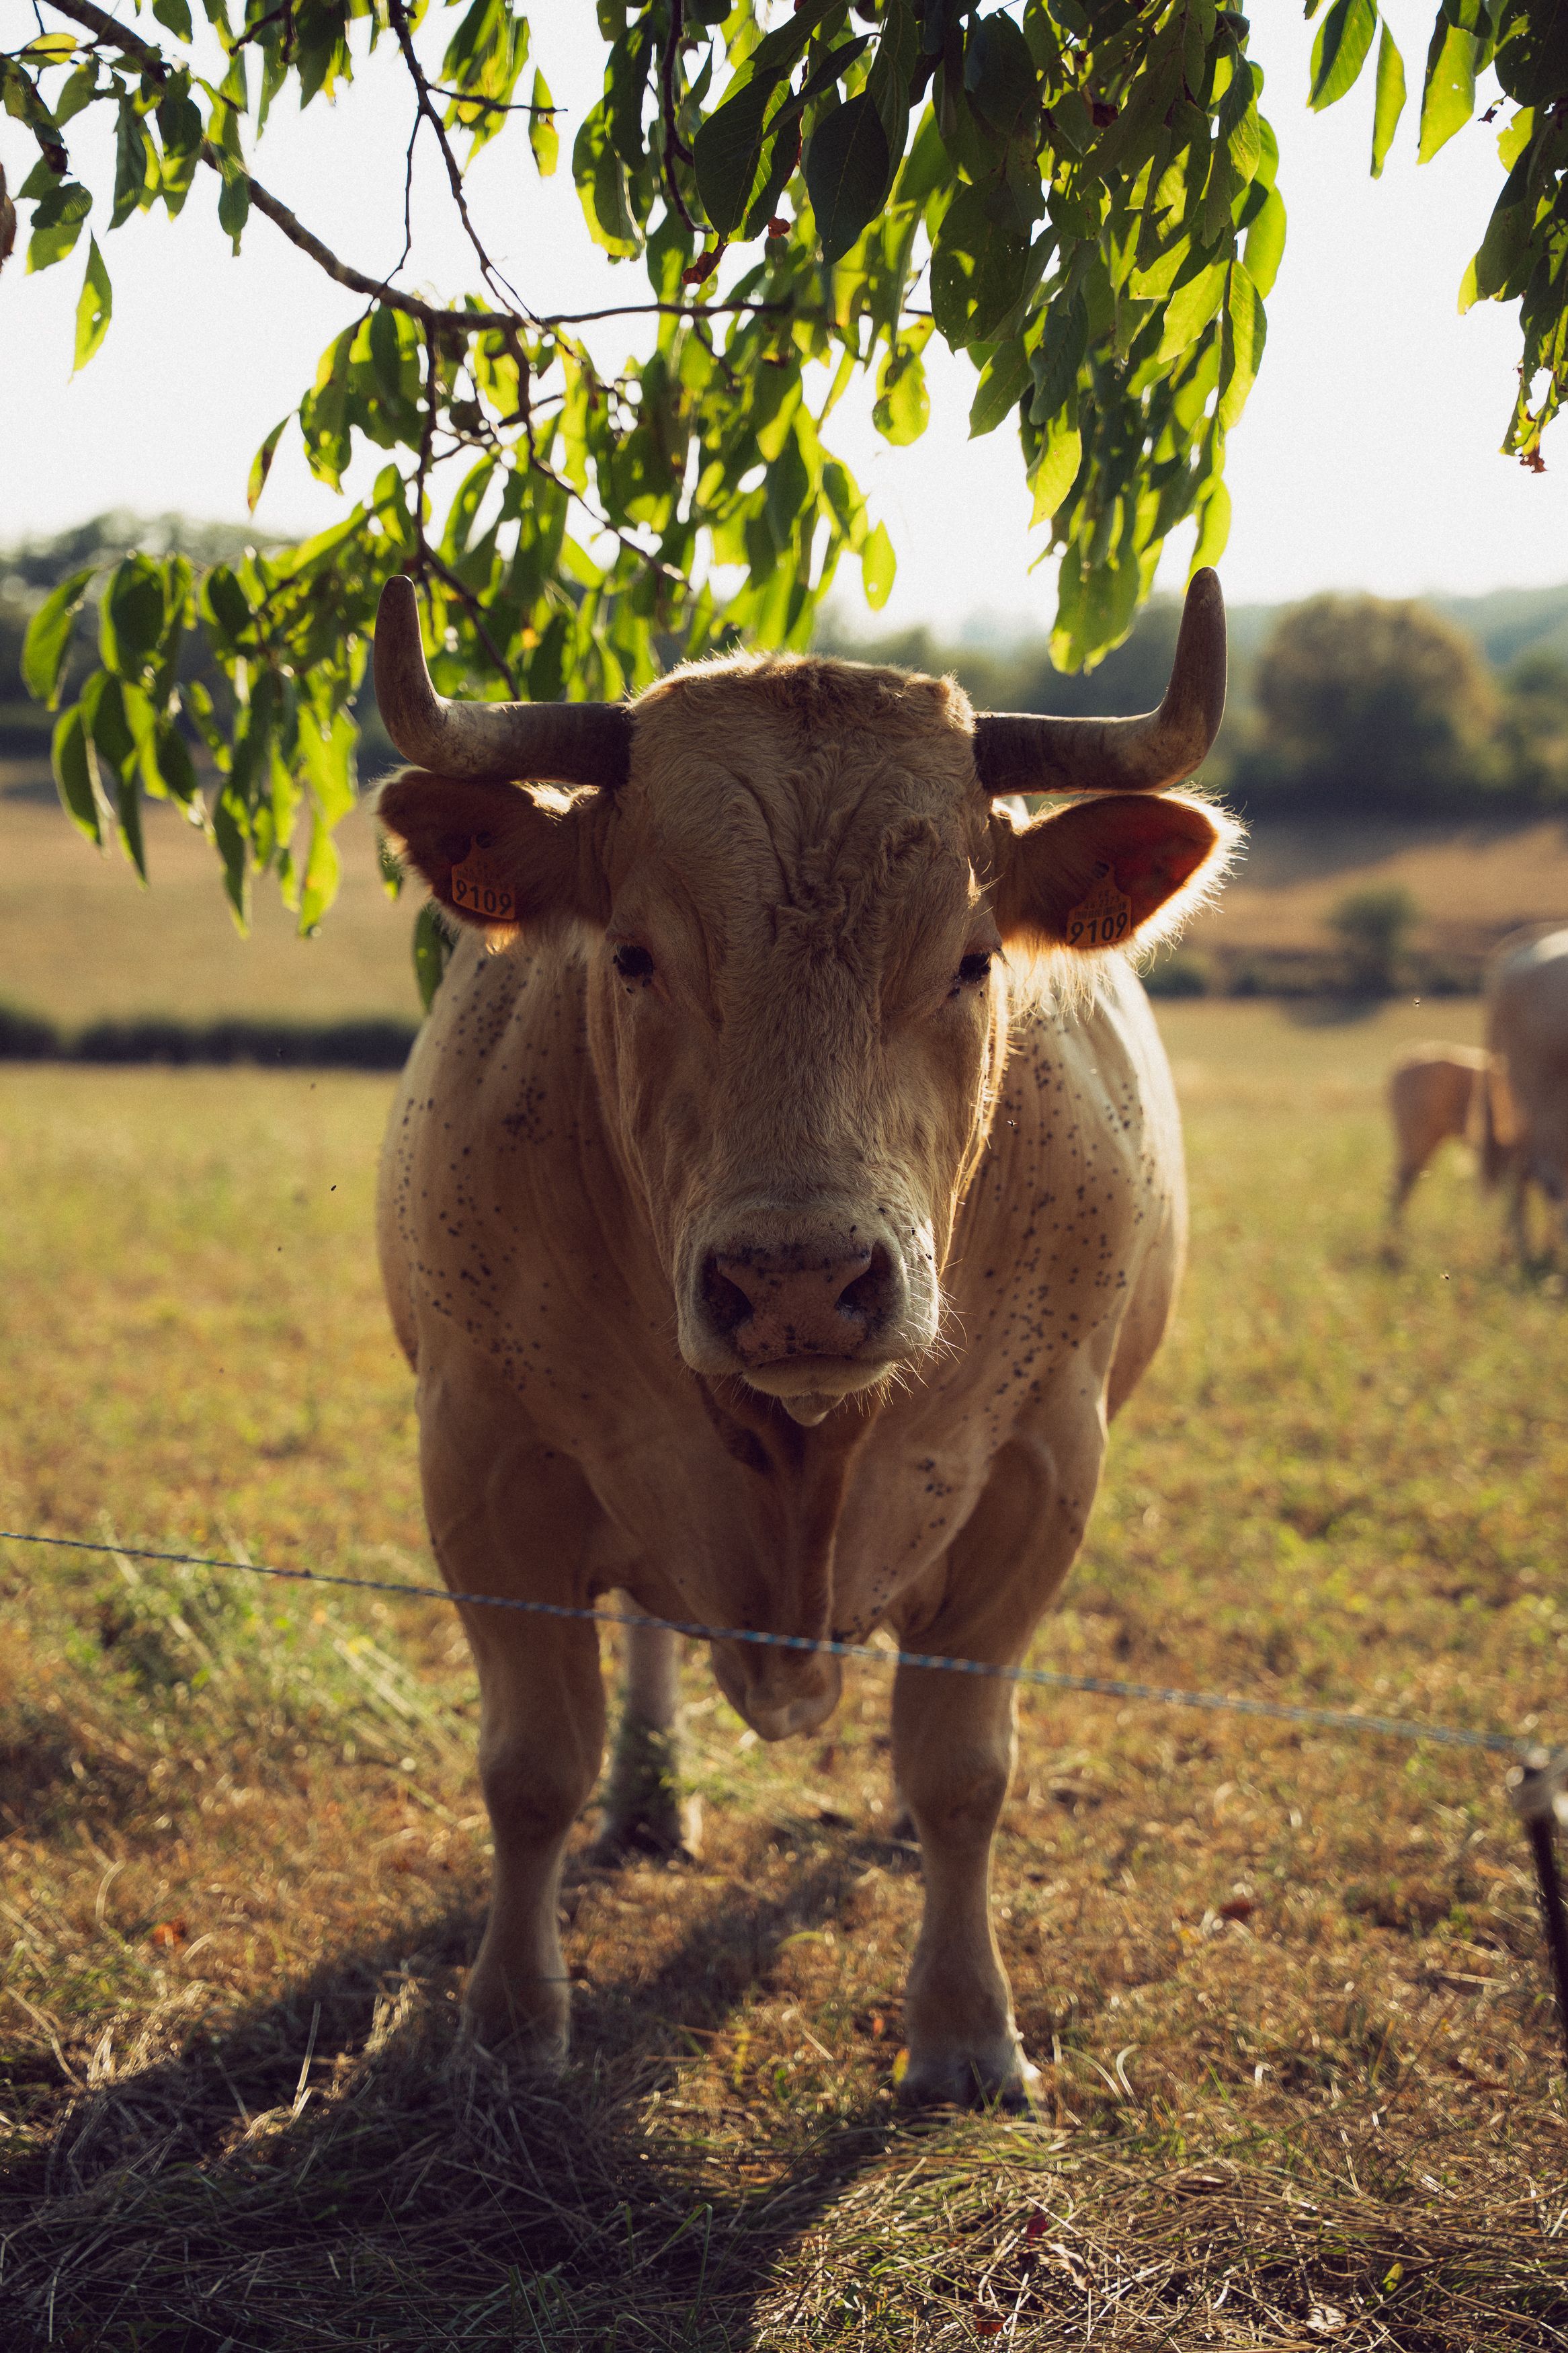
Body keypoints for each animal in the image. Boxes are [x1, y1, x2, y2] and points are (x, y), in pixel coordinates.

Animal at [372, 569, 1239, 2107]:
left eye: (970, 962)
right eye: (634, 954)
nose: (795, 1277)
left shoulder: (1035, 1476)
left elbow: (962, 1769)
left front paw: (963, 2027)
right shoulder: (485, 1464)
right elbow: (531, 1768)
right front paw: (510, 2021)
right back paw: (650, 1797)